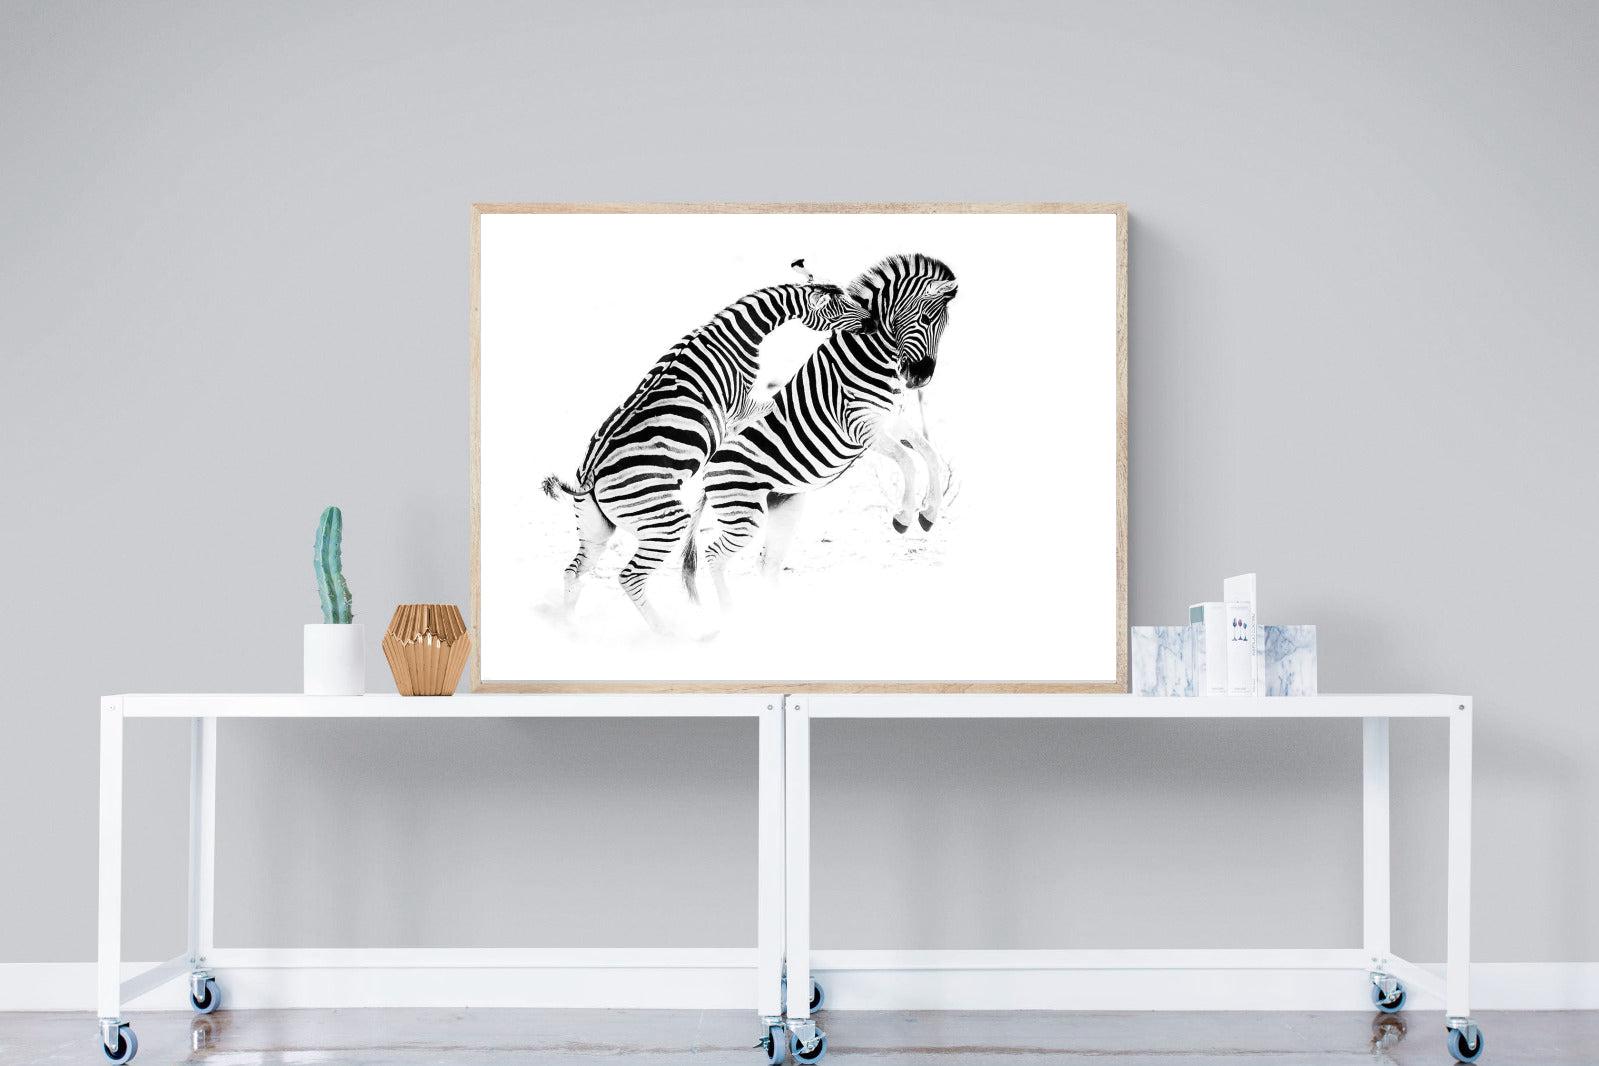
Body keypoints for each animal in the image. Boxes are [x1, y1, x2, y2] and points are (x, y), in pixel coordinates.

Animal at [541, 268, 873, 634]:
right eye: (841, 307)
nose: (872, 321)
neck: (736, 337)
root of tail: (590, 475)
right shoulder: (738, 408)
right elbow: (772, 406)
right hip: (665, 521)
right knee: (630, 577)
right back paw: (667, 632)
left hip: (595, 529)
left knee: (575, 571)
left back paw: (571, 628)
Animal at [683, 253, 958, 608]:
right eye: (925, 318)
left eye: (945, 325)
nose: (921, 378)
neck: (868, 356)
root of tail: (707, 468)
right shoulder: (859, 425)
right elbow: (909, 461)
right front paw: (904, 517)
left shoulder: (890, 419)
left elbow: (929, 455)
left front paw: (928, 513)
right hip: (743, 509)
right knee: (715, 555)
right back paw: (730, 612)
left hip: (784, 506)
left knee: (767, 564)